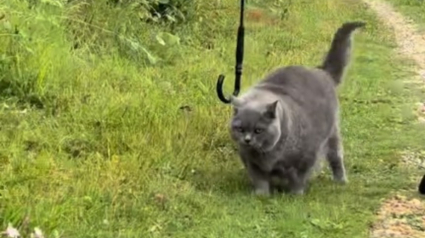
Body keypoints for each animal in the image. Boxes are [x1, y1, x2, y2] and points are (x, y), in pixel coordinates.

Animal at [229, 21, 364, 195]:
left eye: (258, 130)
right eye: (240, 129)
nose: (247, 139)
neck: (269, 155)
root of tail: (321, 71)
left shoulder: (306, 157)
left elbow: (298, 178)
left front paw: (295, 195)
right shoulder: (251, 163)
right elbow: (260, 180)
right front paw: (261, 195)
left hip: (332, 134)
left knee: (336, 157)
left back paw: (340, 180)